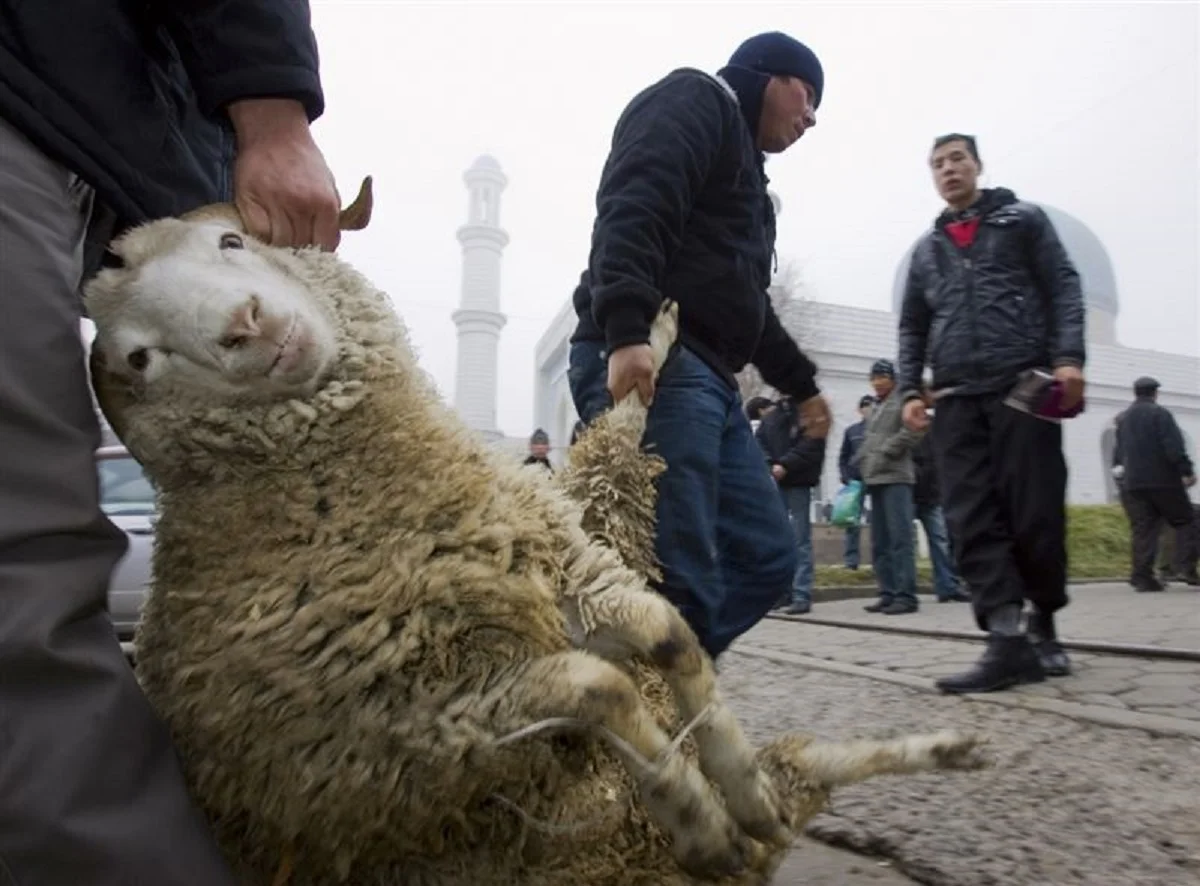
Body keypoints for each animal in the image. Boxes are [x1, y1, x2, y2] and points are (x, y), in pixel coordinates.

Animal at [82, 176, 984, 878]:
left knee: (799, 762)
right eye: (138, 358)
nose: (250, 326)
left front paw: (737, 792)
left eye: (232, 239)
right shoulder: (413, 733)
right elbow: (599, 685)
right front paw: (700, 817)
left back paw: (931, 754)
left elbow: (667, 631)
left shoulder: (569, 568)